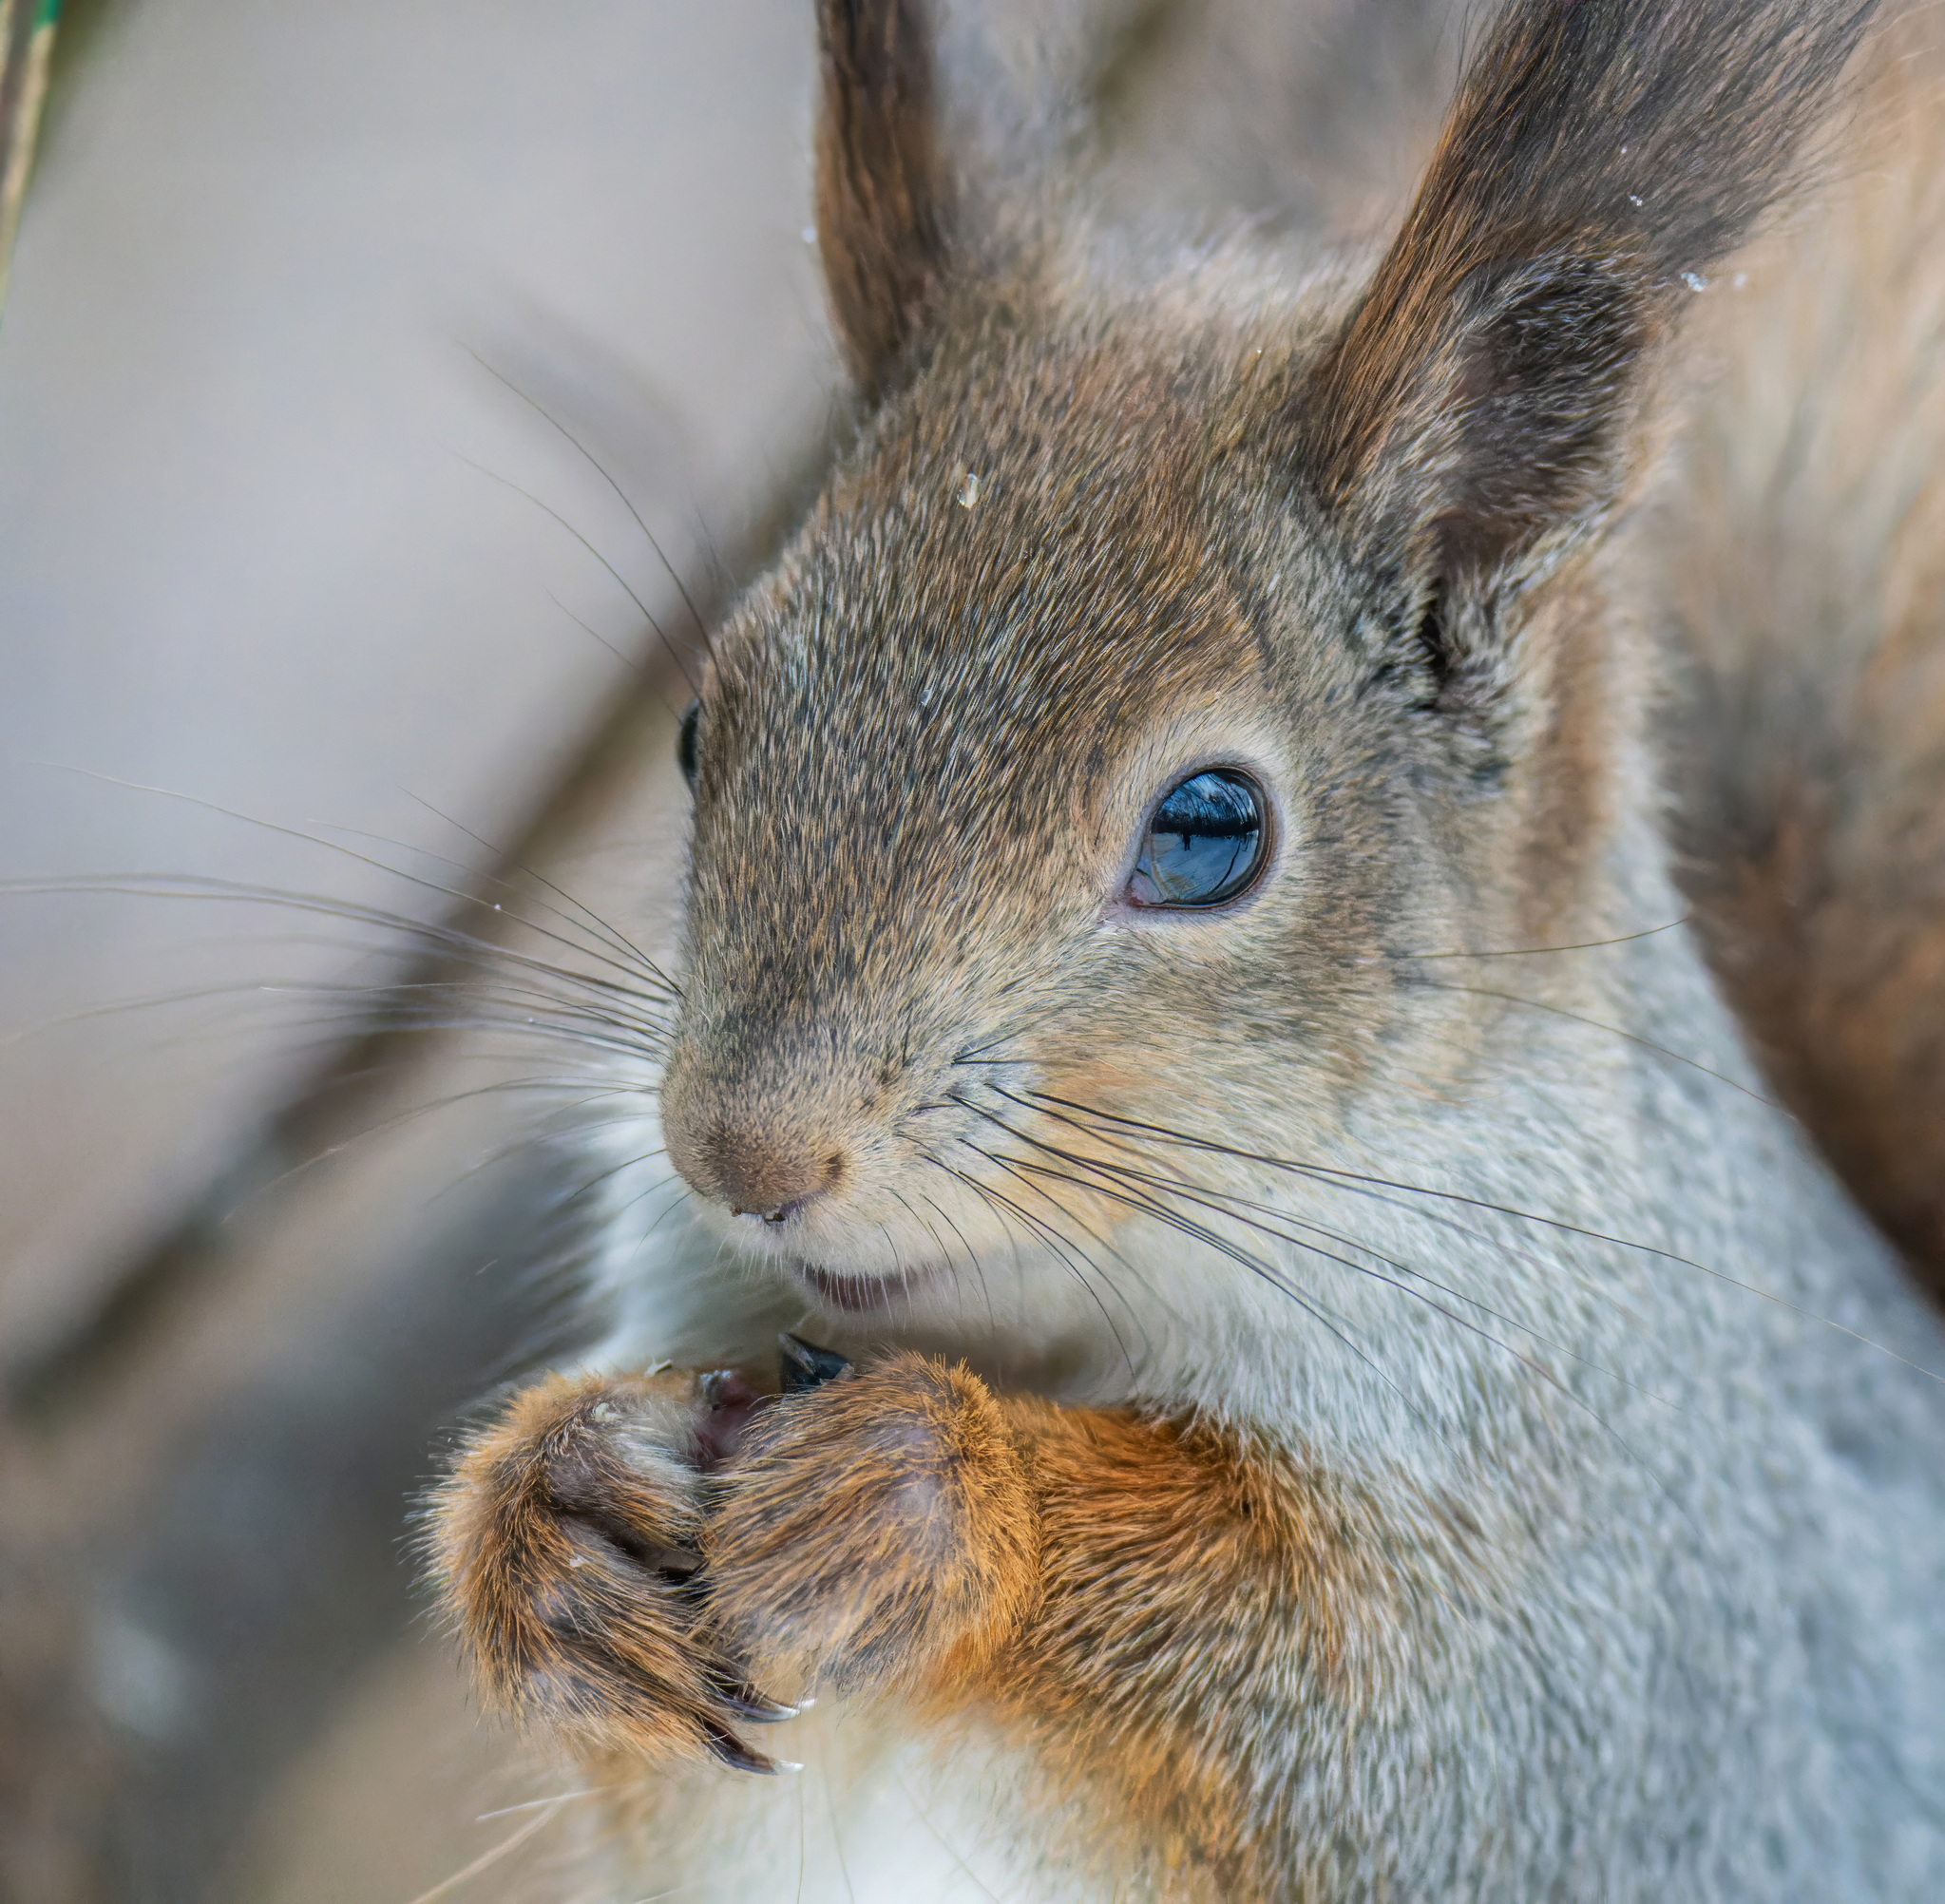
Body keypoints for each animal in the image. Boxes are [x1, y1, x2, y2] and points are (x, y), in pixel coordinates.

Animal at [433, 0, 1944, 1897]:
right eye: (703, 730)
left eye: (1211, 829)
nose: (742, 1155)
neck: (1057, 1326)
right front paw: (552, 1507)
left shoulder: (1636, 1620)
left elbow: (1372, 1726)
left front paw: (936, 1496)